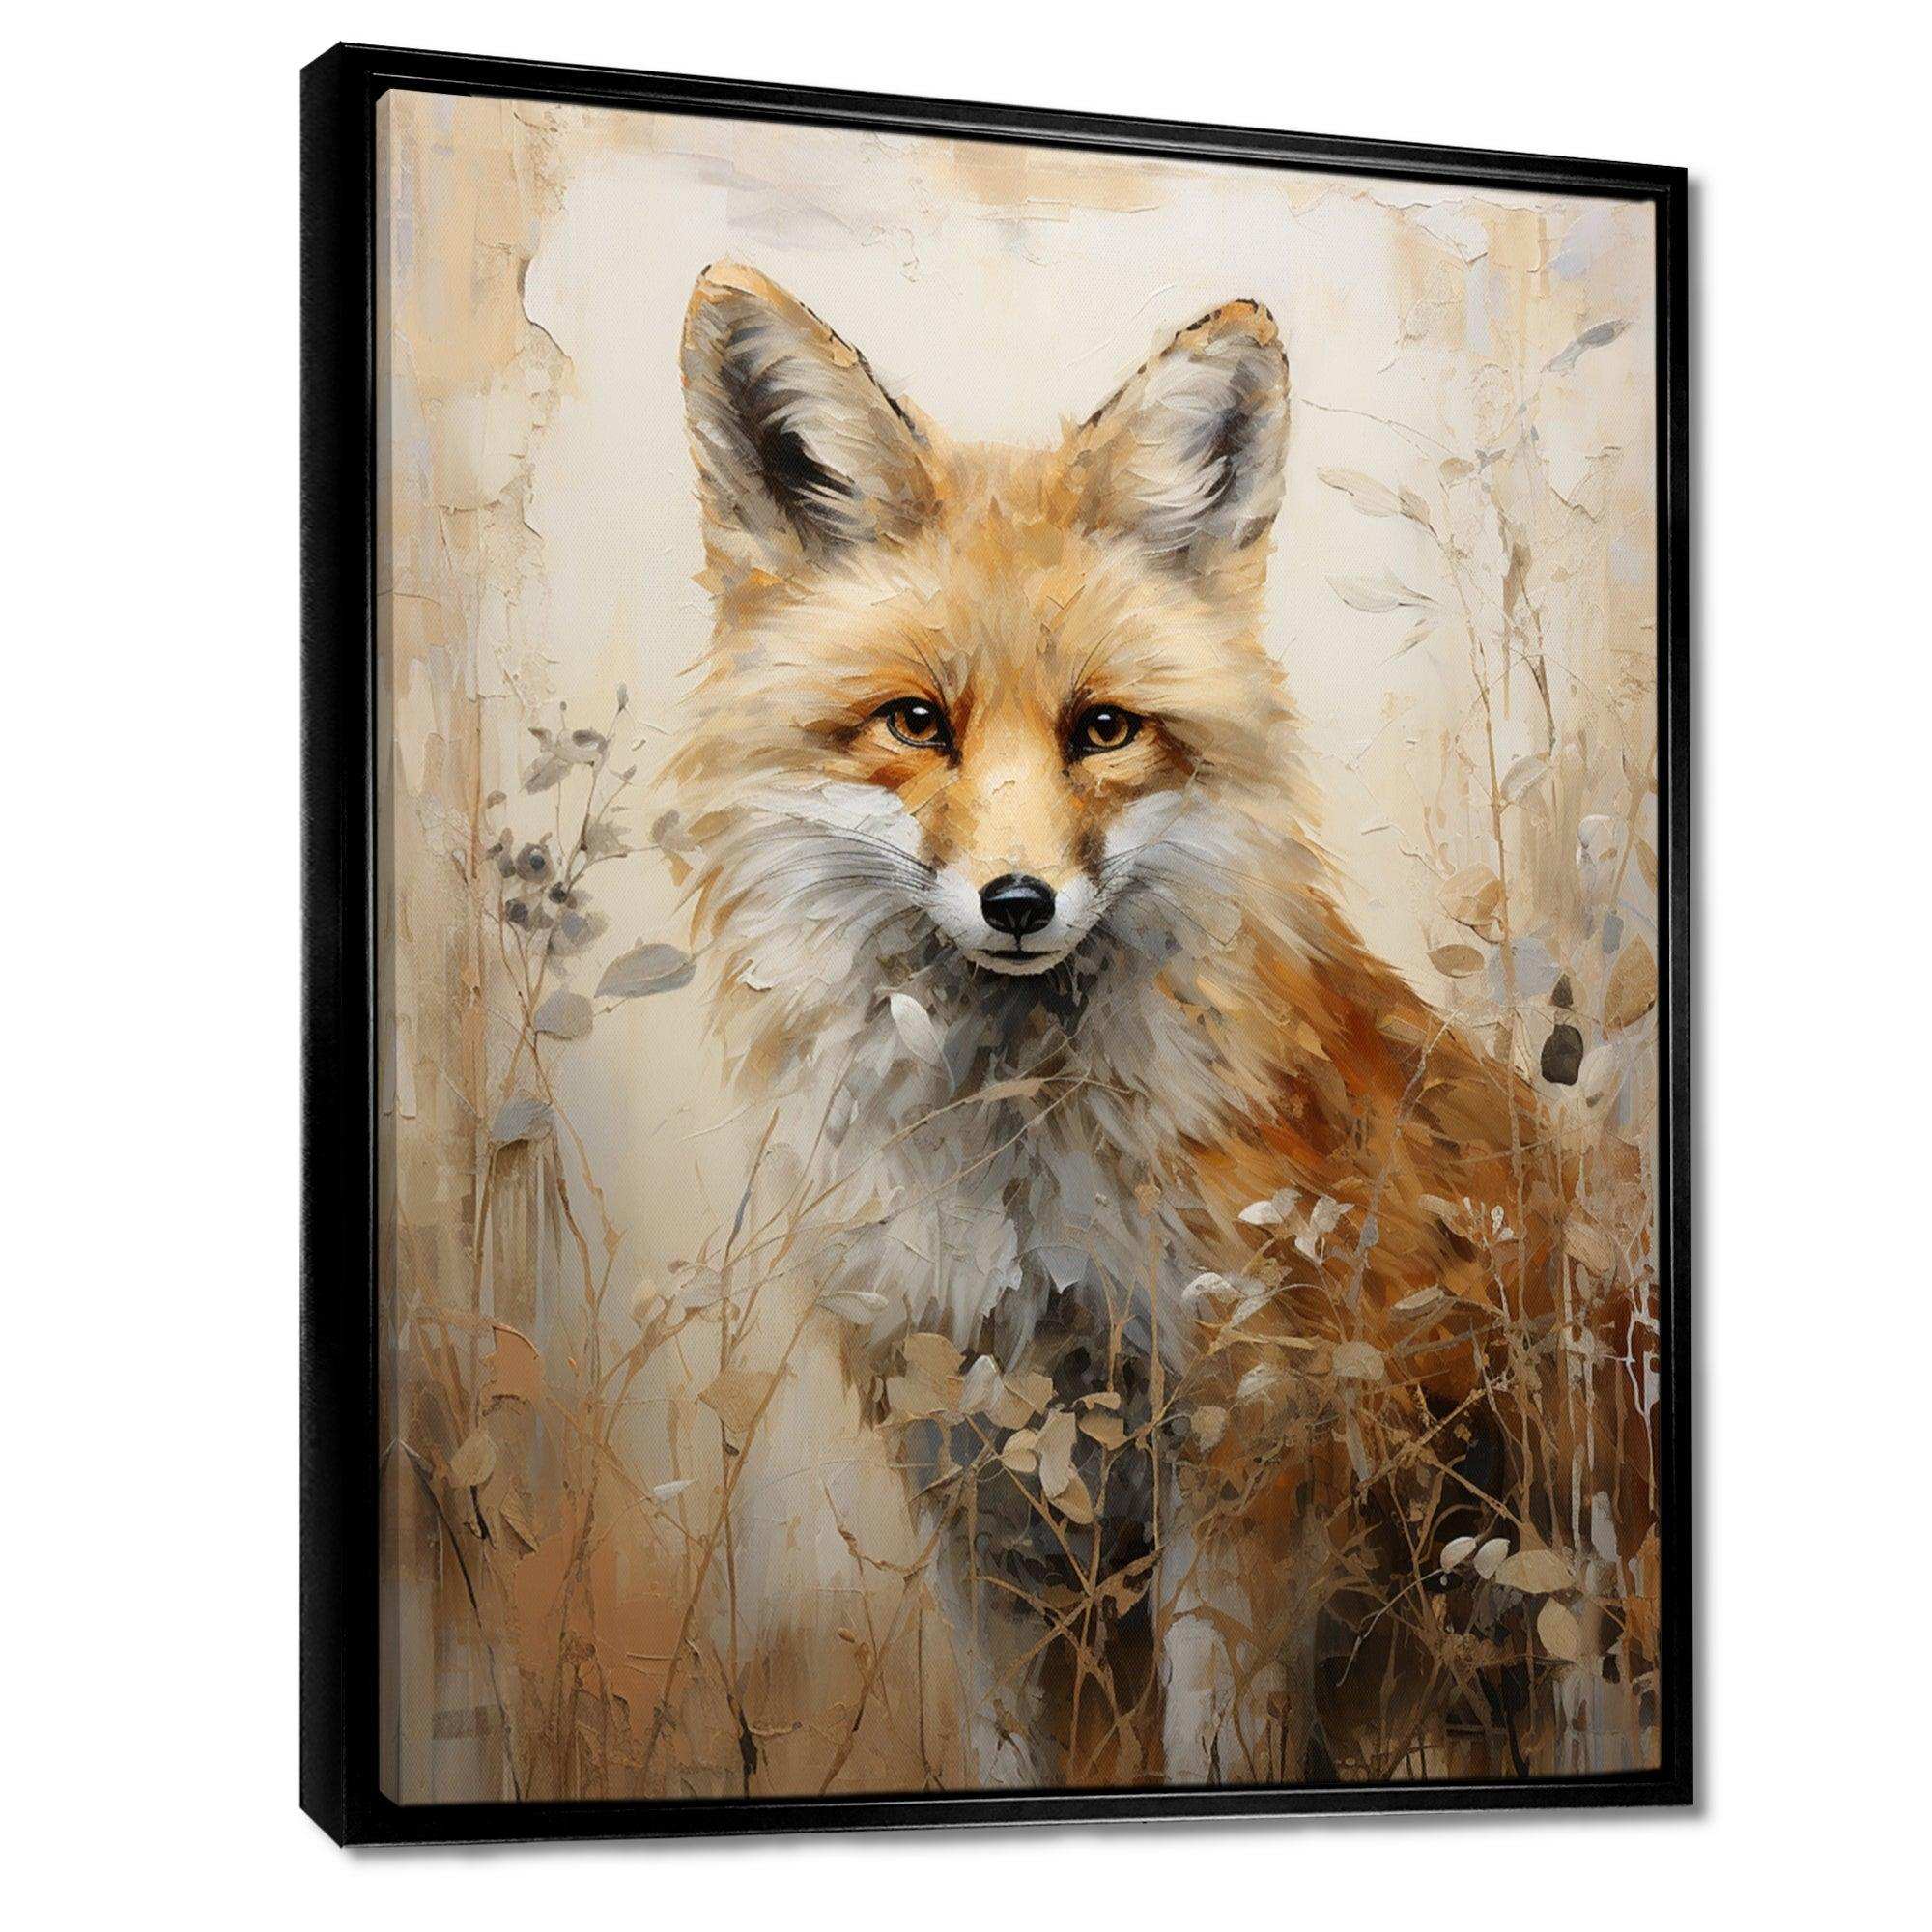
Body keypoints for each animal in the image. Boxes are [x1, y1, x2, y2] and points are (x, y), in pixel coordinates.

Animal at [670, 262, 1638, 1790]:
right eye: (916, 722)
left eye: (1105, 729)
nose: (1017, 902)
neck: (1017, 1175)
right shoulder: (971, 1474)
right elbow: (1008, 1749)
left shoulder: (1239, 1453)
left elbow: (1216, 1744)